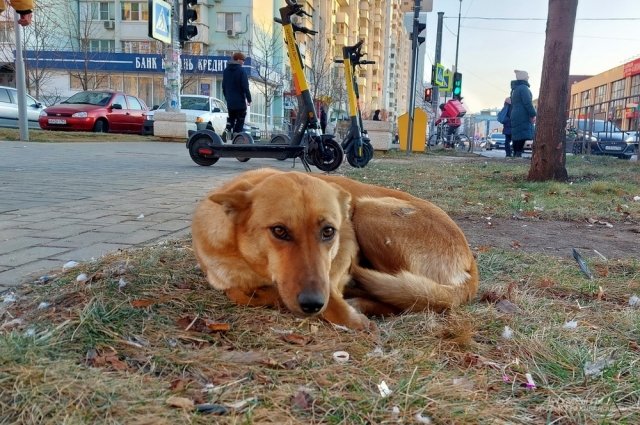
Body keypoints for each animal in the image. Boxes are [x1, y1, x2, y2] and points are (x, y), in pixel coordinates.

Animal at [192, 167, 478, 330]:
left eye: (328, 231)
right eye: (279, 231)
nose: (311, 303)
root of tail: (470, 262)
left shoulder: (347, 243)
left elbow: (330, 290)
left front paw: (350, 317)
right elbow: (239, 293)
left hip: (366, 211)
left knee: (404, 299)